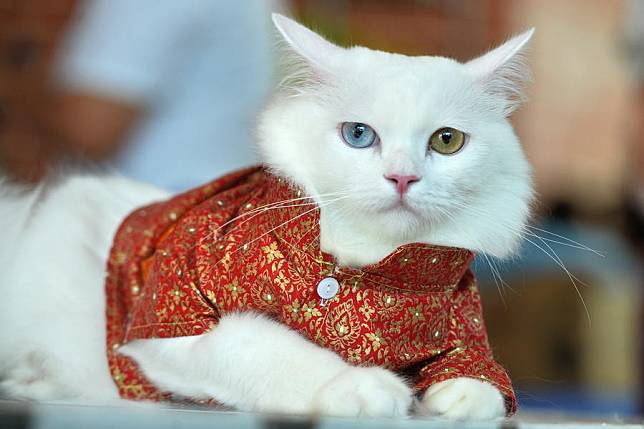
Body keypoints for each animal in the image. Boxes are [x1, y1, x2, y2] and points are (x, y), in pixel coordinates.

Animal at [0, 14, 532, 422]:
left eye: (446, 141)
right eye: (358, 135)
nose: (402, 178)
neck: (373, 273)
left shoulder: (458, 320)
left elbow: (476, 367)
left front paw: (458, 395)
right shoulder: (170, 320)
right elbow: (272, 349)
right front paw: (365, 387)